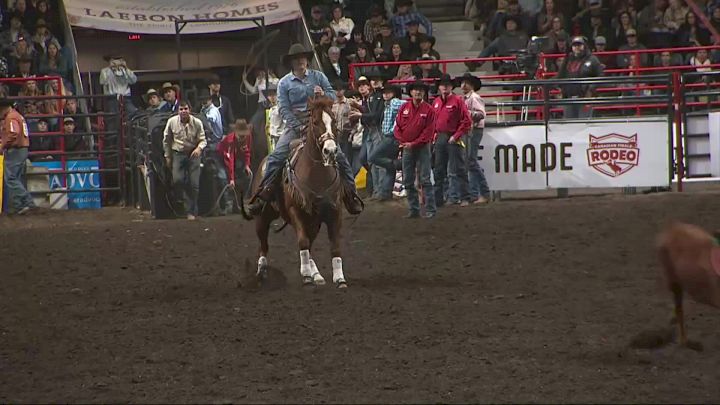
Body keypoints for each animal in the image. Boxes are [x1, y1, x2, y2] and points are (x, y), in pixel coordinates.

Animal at [248, 96, 348, 288]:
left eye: (333, 120)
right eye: (315, 122)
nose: (331, 150)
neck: (317, 175)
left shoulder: (334, 211)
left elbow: (335, 245)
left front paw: (339, 278)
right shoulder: (296, 211)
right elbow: (302, 242)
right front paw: (306, 277)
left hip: (313, 221)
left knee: (310, 243)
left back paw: (317, 274)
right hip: (263, 217)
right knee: (263, 245)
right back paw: (261, 272)